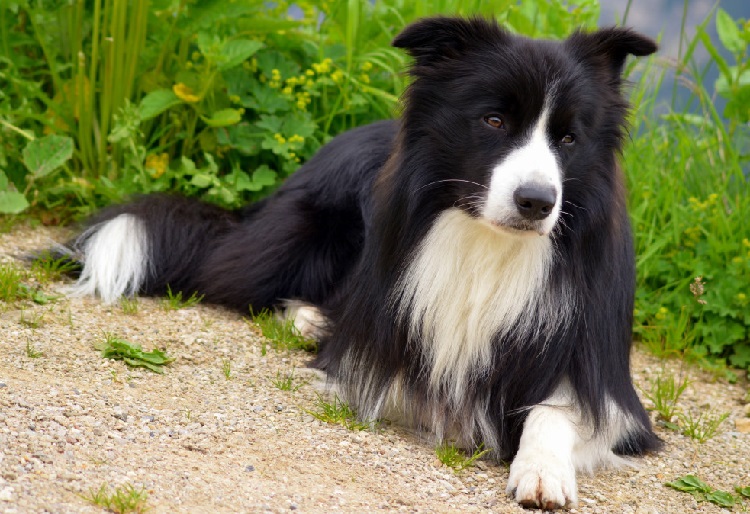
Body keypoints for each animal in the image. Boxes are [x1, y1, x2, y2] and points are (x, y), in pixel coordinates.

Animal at [66, 17, 664, 508]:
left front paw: (542, 472)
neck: (487, 245)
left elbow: (556, 411)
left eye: (568, 137)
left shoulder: (608, 384)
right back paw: (309, 318)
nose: (537, 201)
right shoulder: (379, 353)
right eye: (494, 120)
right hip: (301, 238)